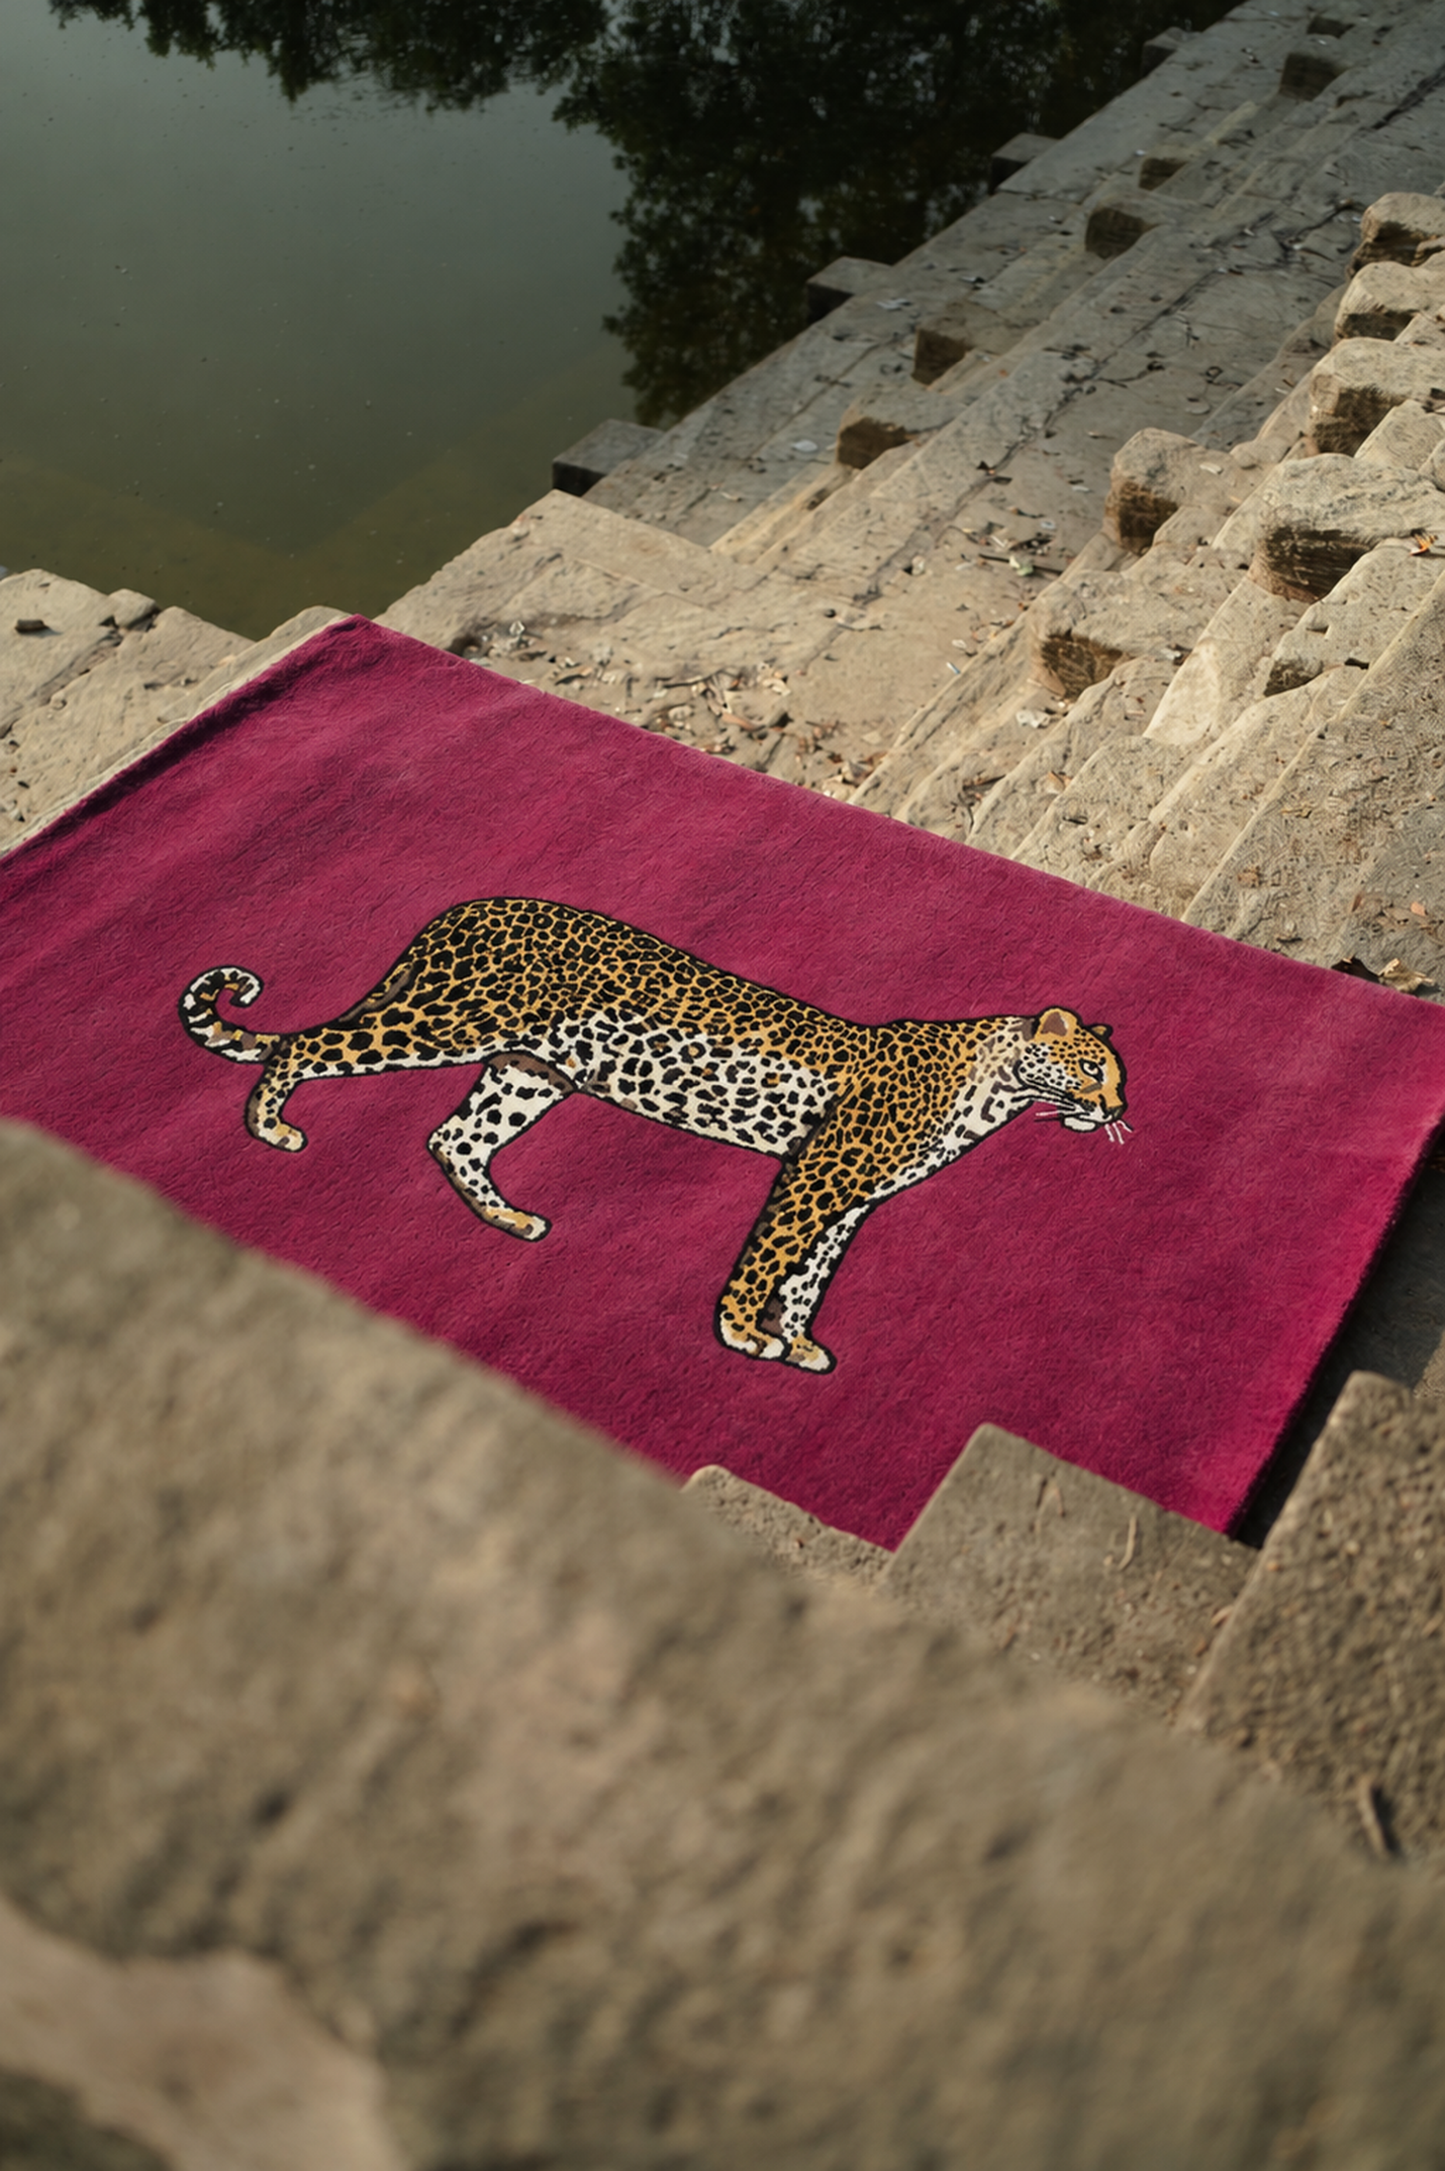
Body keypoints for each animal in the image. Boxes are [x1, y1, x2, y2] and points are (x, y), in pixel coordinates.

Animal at [180, 896, 1129, 1373]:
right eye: (1090, 1070)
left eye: (1115, 1077)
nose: (1116, 1110)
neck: (992, 1091)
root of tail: (469, 904)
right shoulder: (817, 1172)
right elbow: (768, 1257)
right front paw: (742, 1334)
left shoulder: (852, 1202)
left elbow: (810, 1276)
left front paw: (797, 1344)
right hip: (446, 1022)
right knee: (308, 1046)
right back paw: (270, 1127)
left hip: (531, 1070)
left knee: (455, 1138)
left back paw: (512, 1222)